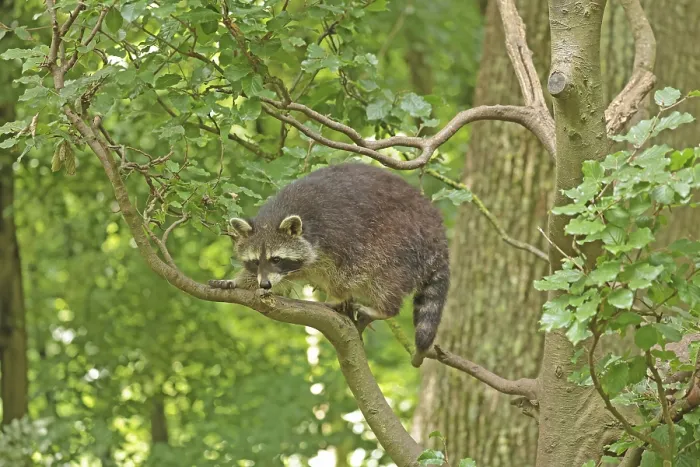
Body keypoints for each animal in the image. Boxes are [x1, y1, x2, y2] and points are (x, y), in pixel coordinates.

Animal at [209, 163, 450, 367]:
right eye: (256, 261)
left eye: (276, 259)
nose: (265, 285)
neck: (275, 217)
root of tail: (436, 227)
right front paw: (238, 281)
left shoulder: (339, 235)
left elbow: (345, 271)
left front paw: (337, 295)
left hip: (401, 239)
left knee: (384, 273)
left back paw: (383, 308)